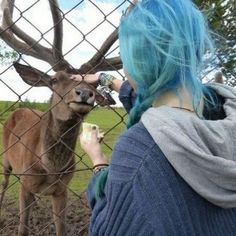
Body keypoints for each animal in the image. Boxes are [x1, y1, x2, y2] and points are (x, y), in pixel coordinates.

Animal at [0, 0, 121, 236]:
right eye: (54, 80)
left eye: (95, 84)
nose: (84, 93)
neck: (49, 169)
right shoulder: (26, 182)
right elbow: (23, 229)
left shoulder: (62, 188)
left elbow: (61, 228)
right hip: (6, 159)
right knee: (4, 182)